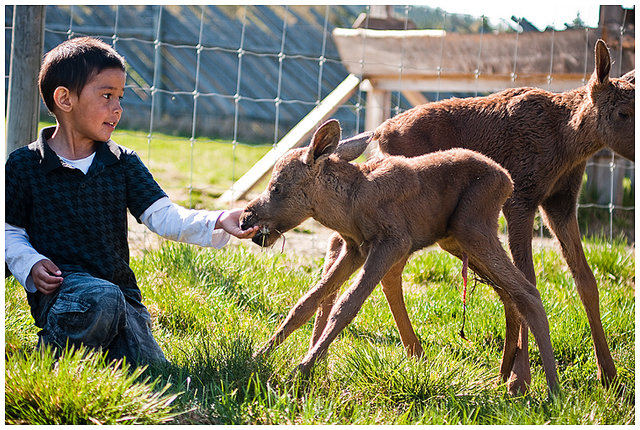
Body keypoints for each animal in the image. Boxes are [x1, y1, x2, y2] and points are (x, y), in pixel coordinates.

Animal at [241, 119, 560, 394]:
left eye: (277, 187)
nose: (246, 218)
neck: (347, 209)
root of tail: (508, 181)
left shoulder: (393, 241)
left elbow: (346, 305)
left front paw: (299, 371)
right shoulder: (355, 249)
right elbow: (307, 302)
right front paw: (259, 355)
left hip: (472, 226)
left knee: (528, 291)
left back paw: (551, 391)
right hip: (455, 239)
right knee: (509, 294)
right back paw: (506, 375)